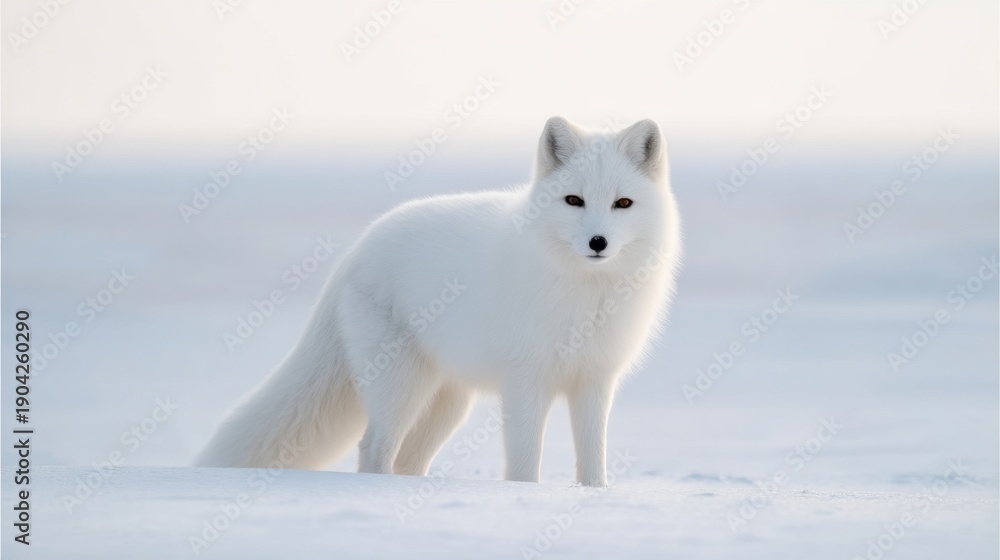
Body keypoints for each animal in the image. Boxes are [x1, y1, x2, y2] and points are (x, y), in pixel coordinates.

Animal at [195, 116, 682, 486]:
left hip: (448, 403)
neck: (587, 293)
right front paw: (525, 497)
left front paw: (594, 497)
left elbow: (593, 458)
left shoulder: (595, 379)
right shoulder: (527, 380)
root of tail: (359, 247)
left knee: (409, 459)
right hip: (400, 386)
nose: (598, 242)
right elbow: (525, 461)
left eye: (623, 203)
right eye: (574, 200)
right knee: (374, 448)